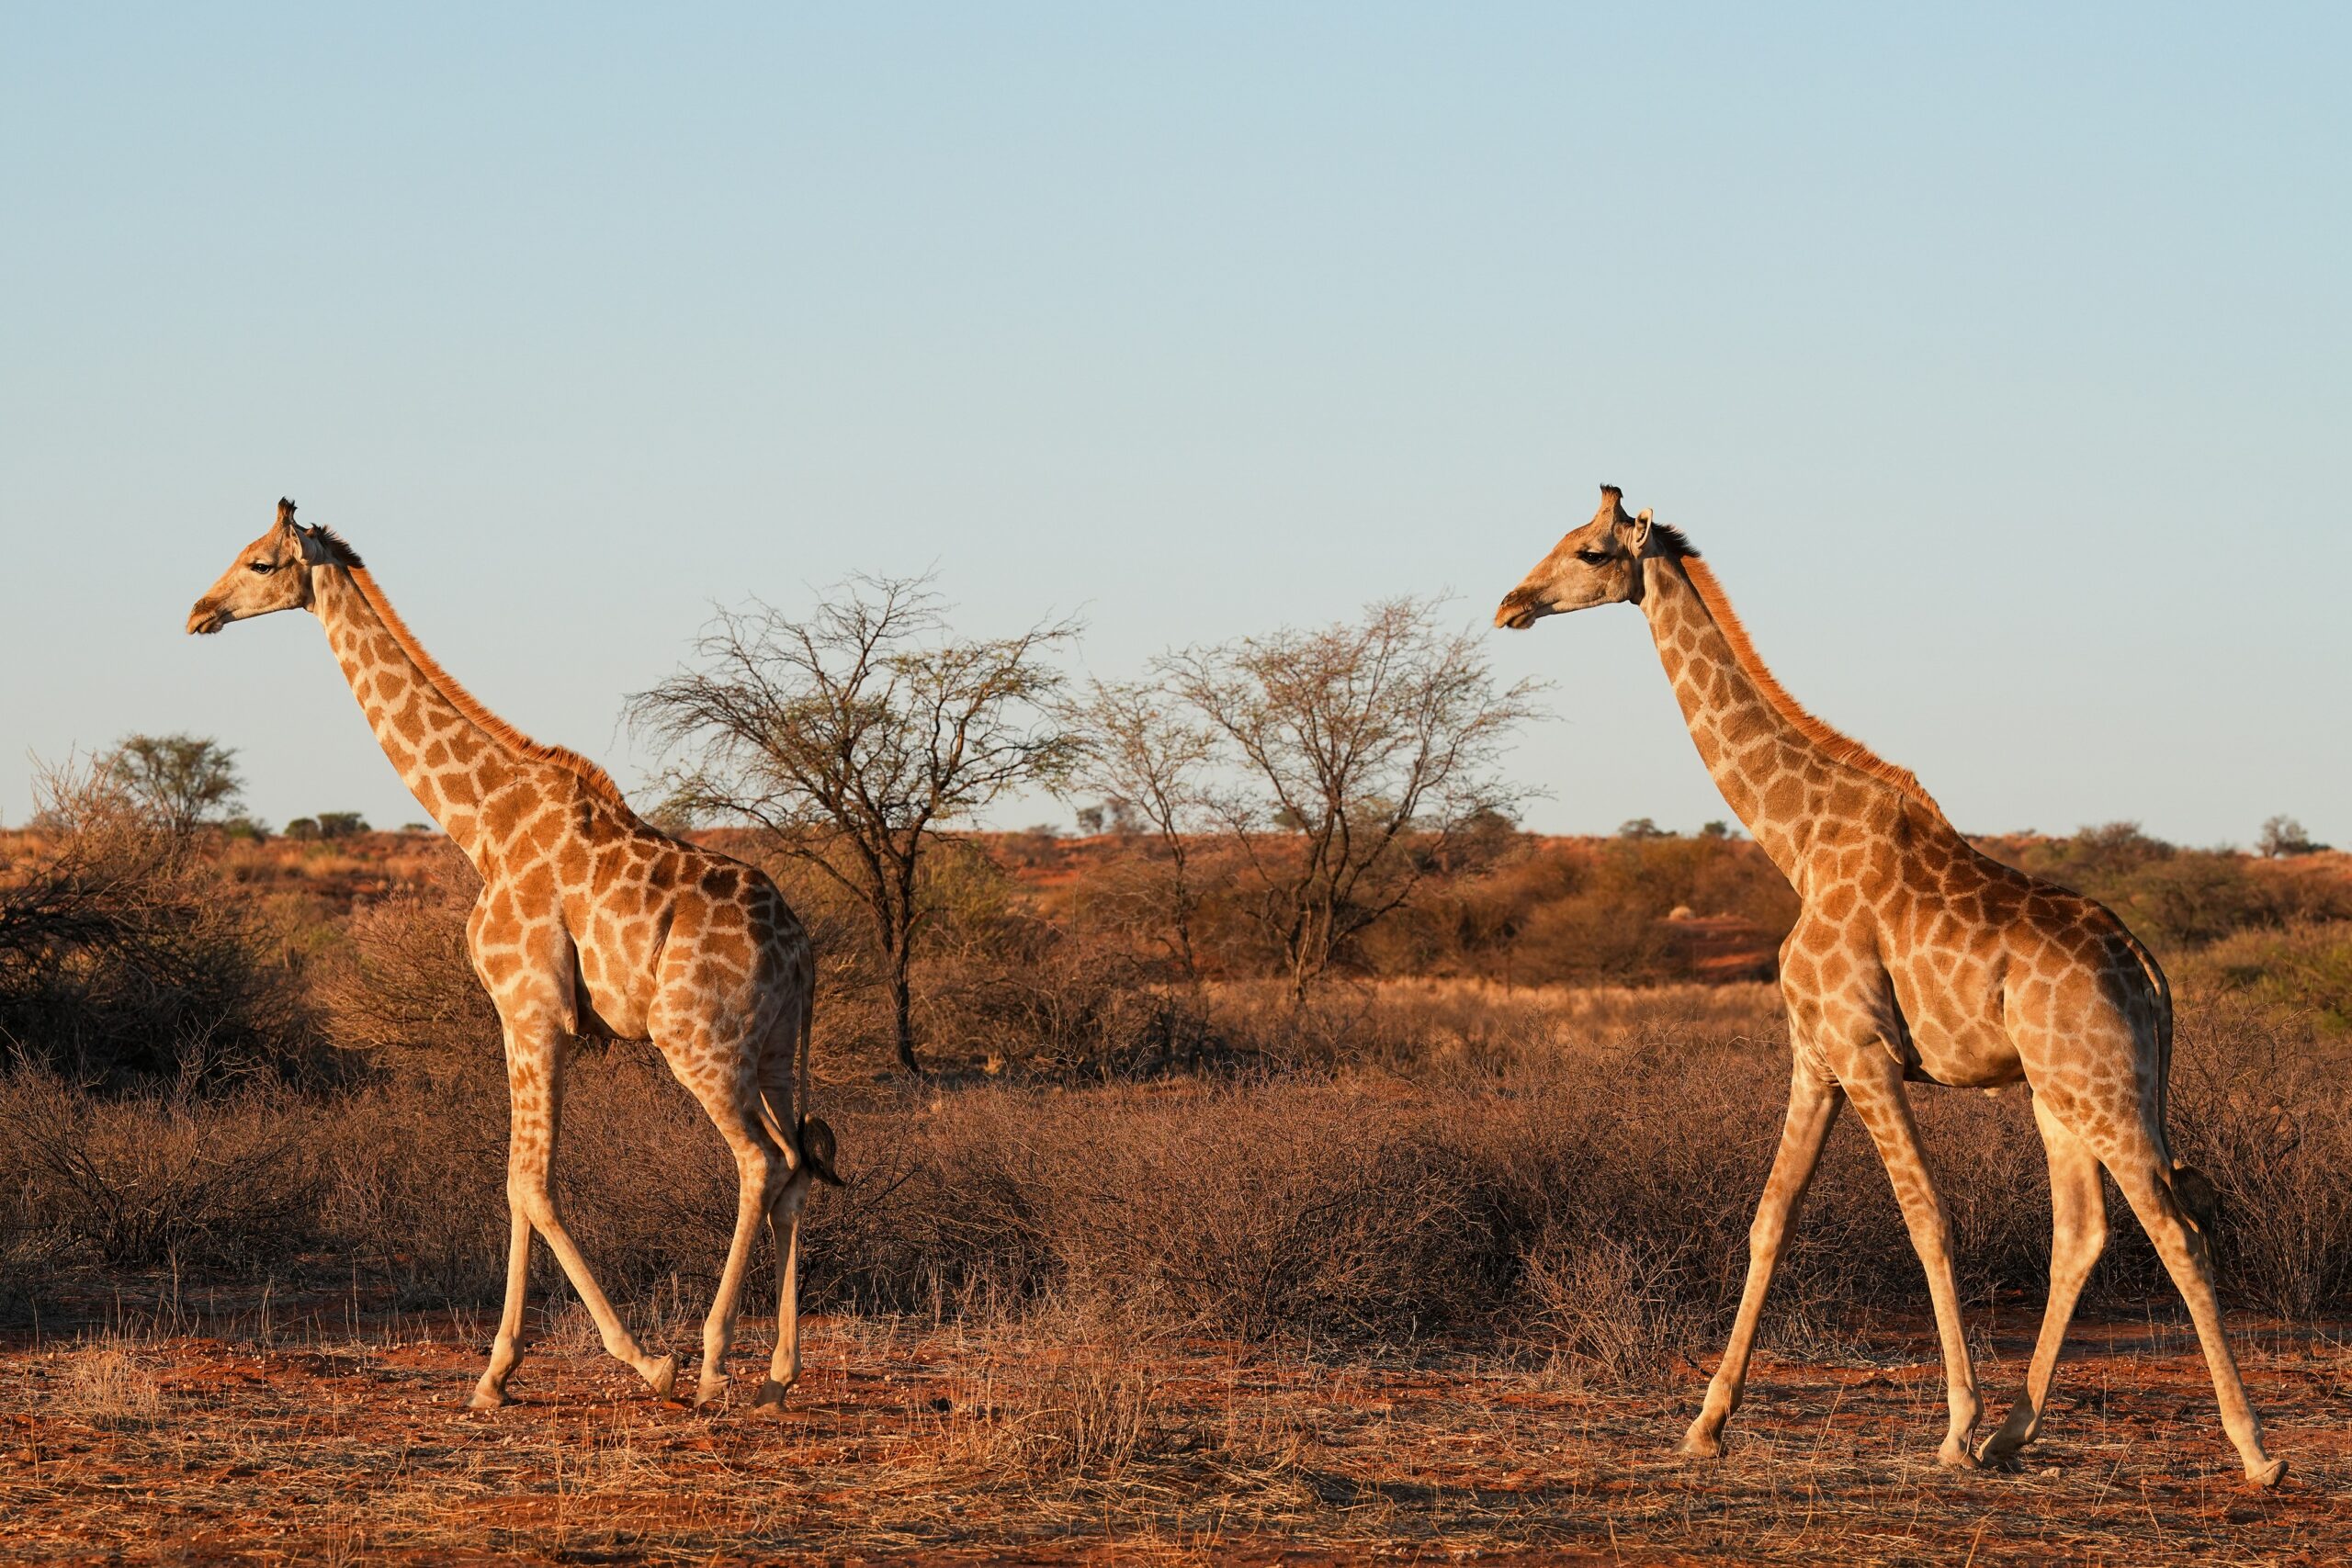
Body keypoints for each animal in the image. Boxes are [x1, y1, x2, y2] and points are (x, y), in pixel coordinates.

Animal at [187, 499, 841, 1410]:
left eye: (257, 561)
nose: (198, 612)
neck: (482, 822)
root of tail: (801, 946)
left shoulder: (530, 1008)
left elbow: (527, 1179)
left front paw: (627, 1360)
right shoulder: (537, 1018)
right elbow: (518, 1179)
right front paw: (501, 1371)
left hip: (698, 1039)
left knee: (760, 1159)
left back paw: (712, 1361)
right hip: (775, 1045)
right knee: (797, 1168)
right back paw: (780, 1373)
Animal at [1495, 487, 2285, 1487]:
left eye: (1590, 552)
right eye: (1560, 539)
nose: (1511, 604)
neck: (1796, 841)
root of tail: (2148, 970)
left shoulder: (1865, 1051)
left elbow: (1926, 1219)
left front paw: (1951, 1426)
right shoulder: (1815, 1055)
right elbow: (1771, 1217)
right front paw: (1706, 1423)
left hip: (2102, 1088)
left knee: (2175, 1230)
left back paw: (2251, 1449)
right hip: (2063, 1091)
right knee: (2083, 1233)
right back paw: (2015, 1433)